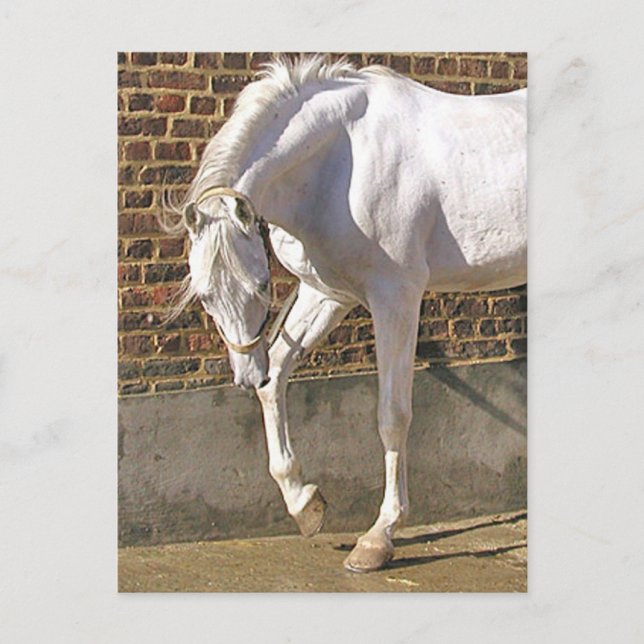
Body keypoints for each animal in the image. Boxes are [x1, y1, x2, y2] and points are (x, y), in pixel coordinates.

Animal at [162, 55, 527, 572]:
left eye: (261, 285)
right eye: (205, 296)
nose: (244, 375)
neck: (340, 162)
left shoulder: (396, 297)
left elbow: (392, 414)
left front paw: (378, 538)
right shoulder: (328, 294)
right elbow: (277, 377)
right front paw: (304, 504)